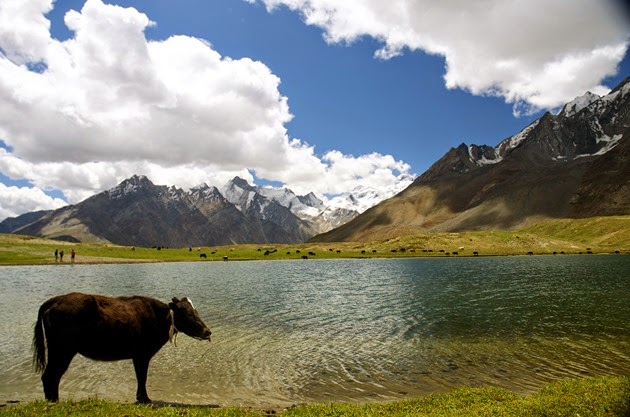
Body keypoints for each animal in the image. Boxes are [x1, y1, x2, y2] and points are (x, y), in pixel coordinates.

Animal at [33, 292, 212, 404]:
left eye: (195, 311)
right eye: (187, 313)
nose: (207, 331)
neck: (157, 317)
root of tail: (55, 300)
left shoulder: (138, 356)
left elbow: (140, 377)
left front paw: (141, 398)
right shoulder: (142, 354)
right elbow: (142, 377)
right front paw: (145, 399)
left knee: (51, 376)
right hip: (61, 351)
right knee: (50, 376)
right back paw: (54, 402)